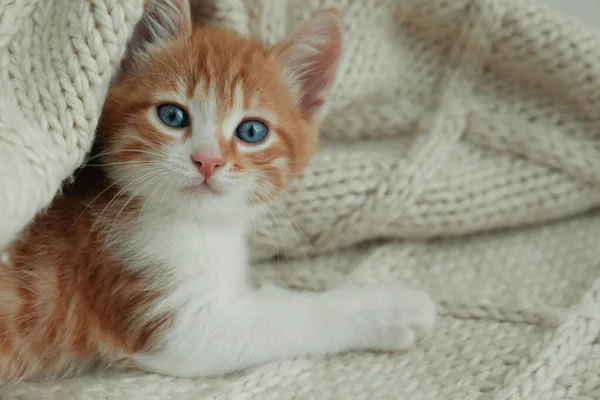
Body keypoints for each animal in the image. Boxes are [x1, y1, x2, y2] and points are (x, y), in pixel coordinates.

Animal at [0, 1, 436, 386]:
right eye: (172, 115)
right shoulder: (179, 326)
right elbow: (293, 316)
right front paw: (388, 307)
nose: (207, 161)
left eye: (252, 131)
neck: (200, 226)